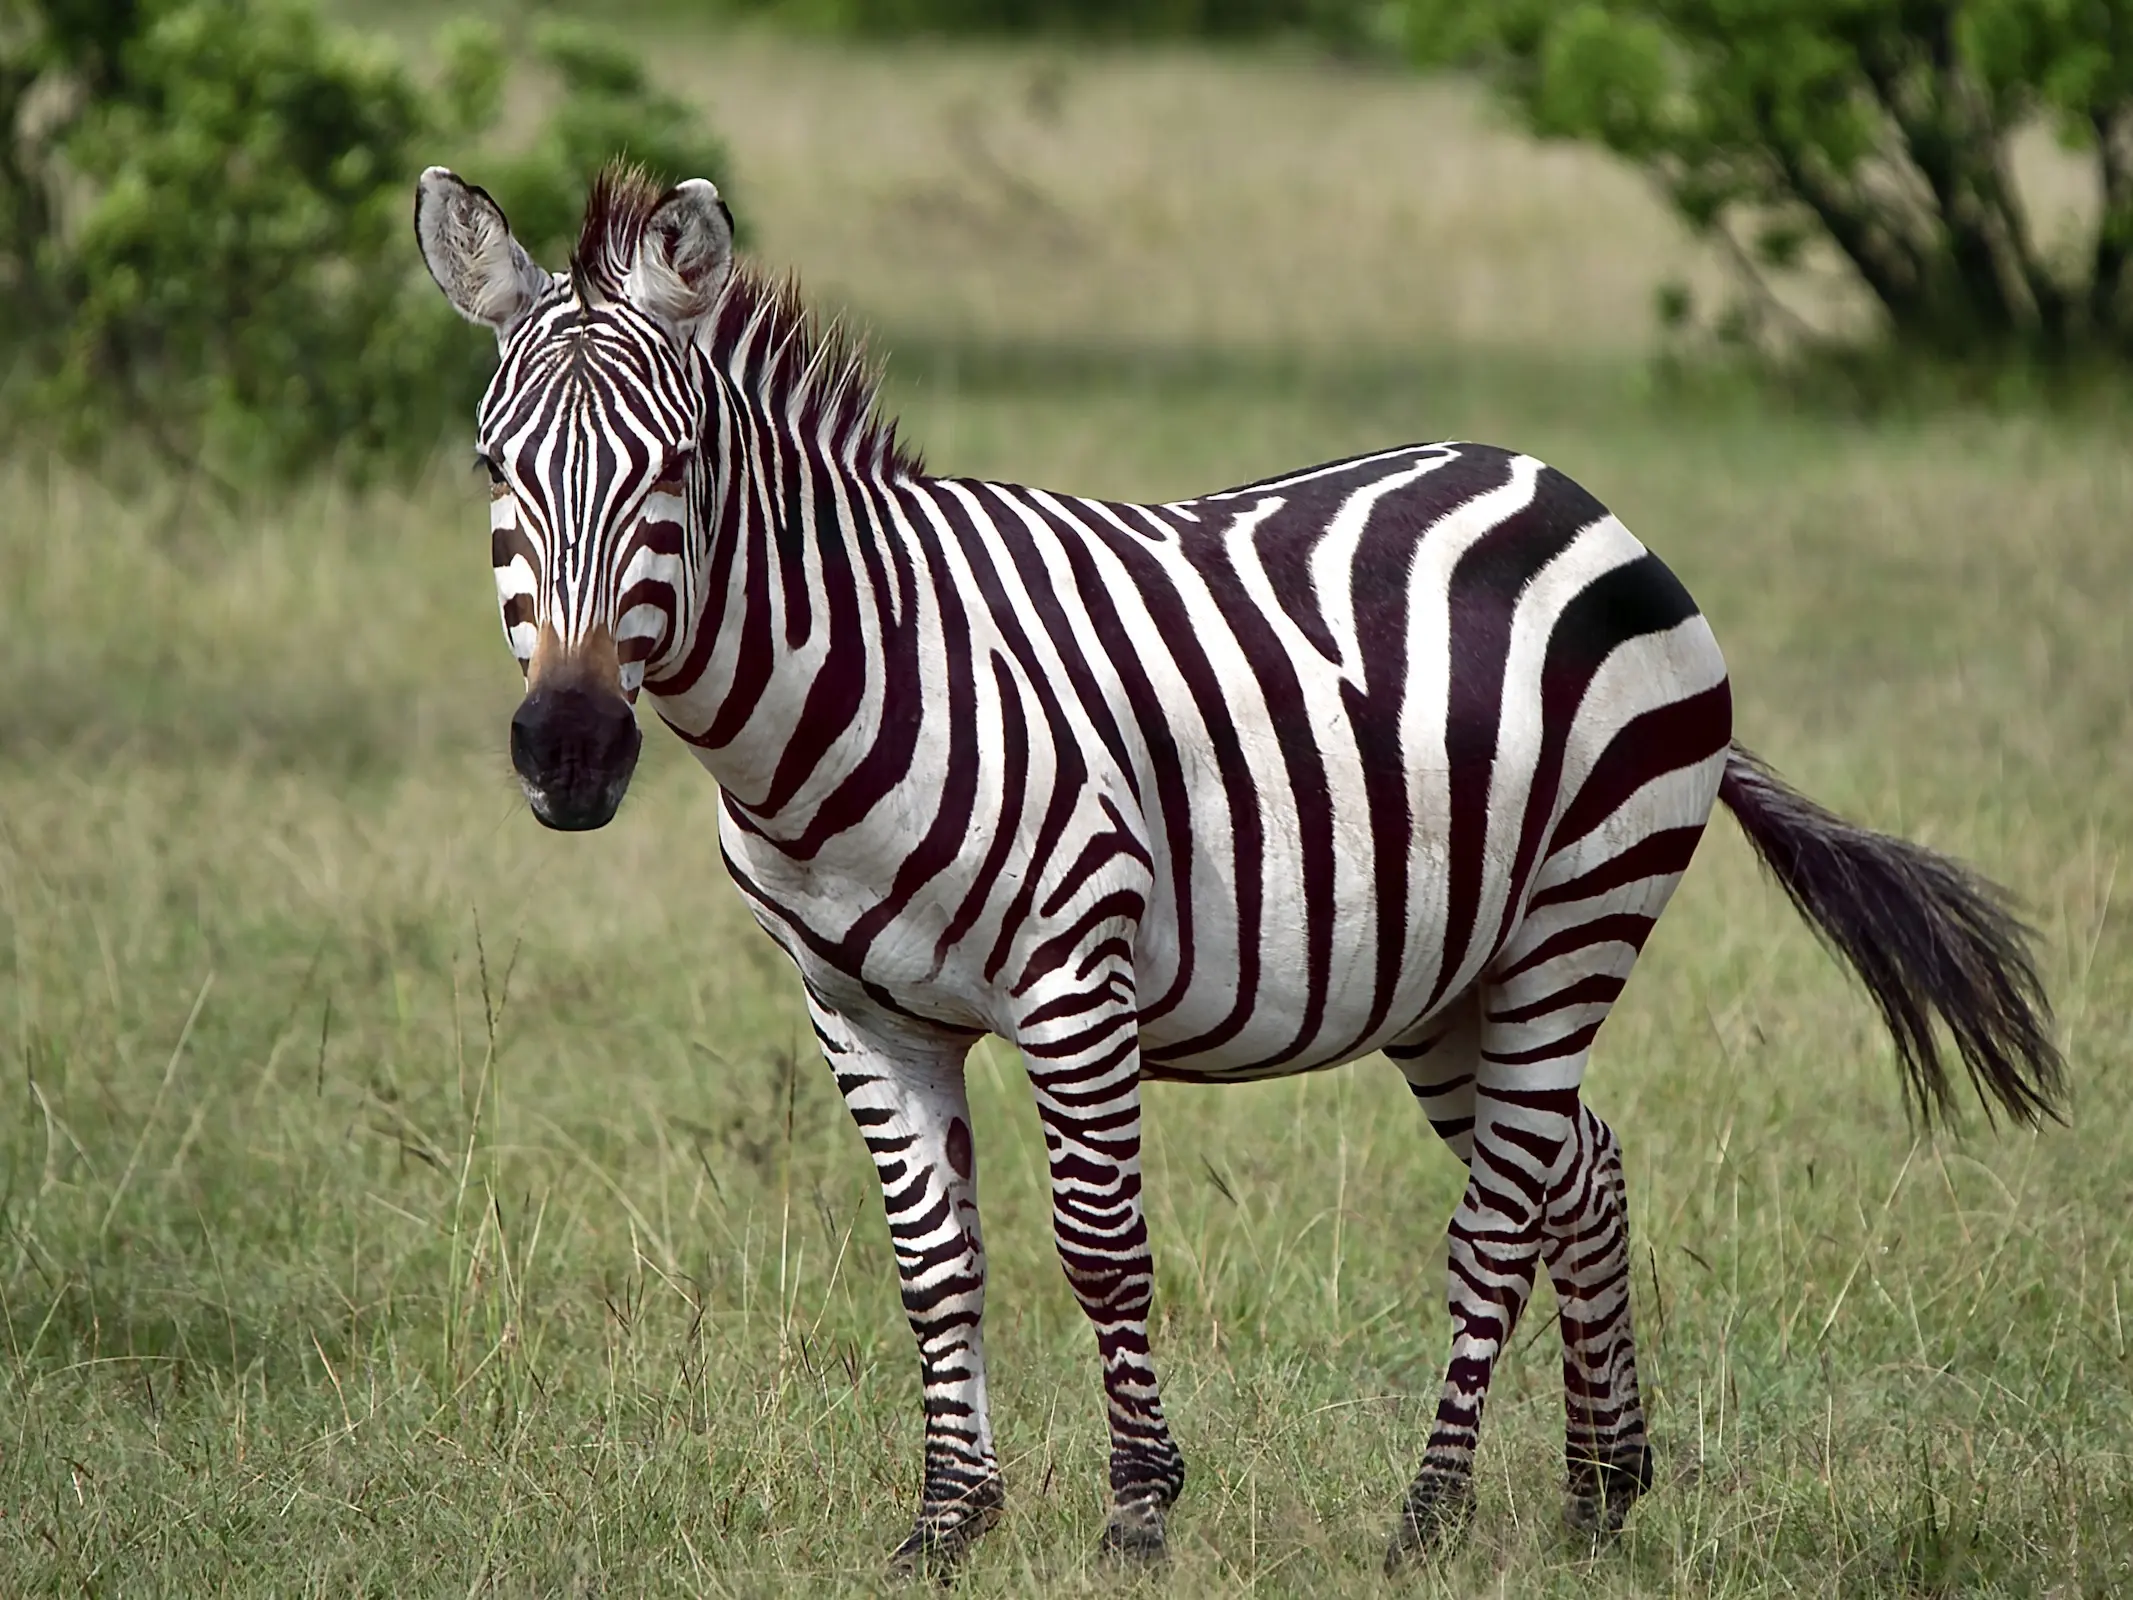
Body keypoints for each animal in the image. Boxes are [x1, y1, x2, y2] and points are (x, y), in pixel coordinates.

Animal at [415, 166, 2064, 1578]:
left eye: (677, 469)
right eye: (495, 469)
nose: (570, 751)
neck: (849, 683)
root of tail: (1571, 491)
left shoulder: (1074, 975)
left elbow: (1100, 1252)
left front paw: (1138, 1516)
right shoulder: (856, 1008)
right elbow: (933, 1265)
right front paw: (947, 1525)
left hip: (1577, 915)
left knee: (1500, 1219)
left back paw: (1429, 1519)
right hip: (1448, 973)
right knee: (1577, 1171)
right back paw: (1602, 1496)